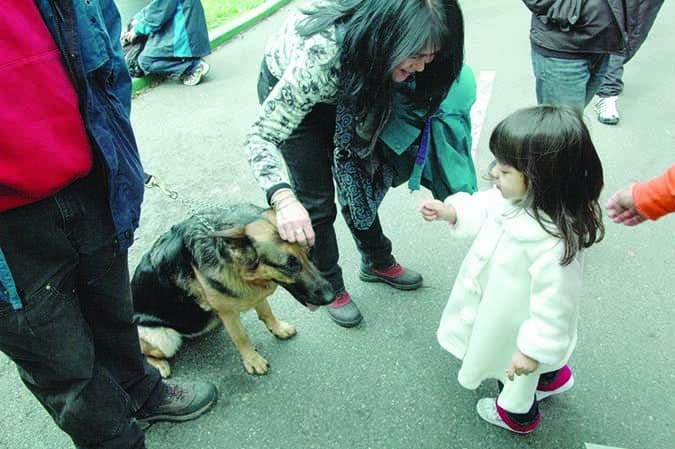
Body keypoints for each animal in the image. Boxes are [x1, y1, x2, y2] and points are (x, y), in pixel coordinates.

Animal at [131, 205, 334, 376]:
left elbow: (266, 312)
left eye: (310, 252)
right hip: (164, 339)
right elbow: (241, 337)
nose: (332, 296)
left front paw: (278, 328)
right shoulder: (227, 313)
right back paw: (160, 365)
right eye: (289, 265)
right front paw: (252, 360)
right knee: (144, 352)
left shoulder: (255, 295)